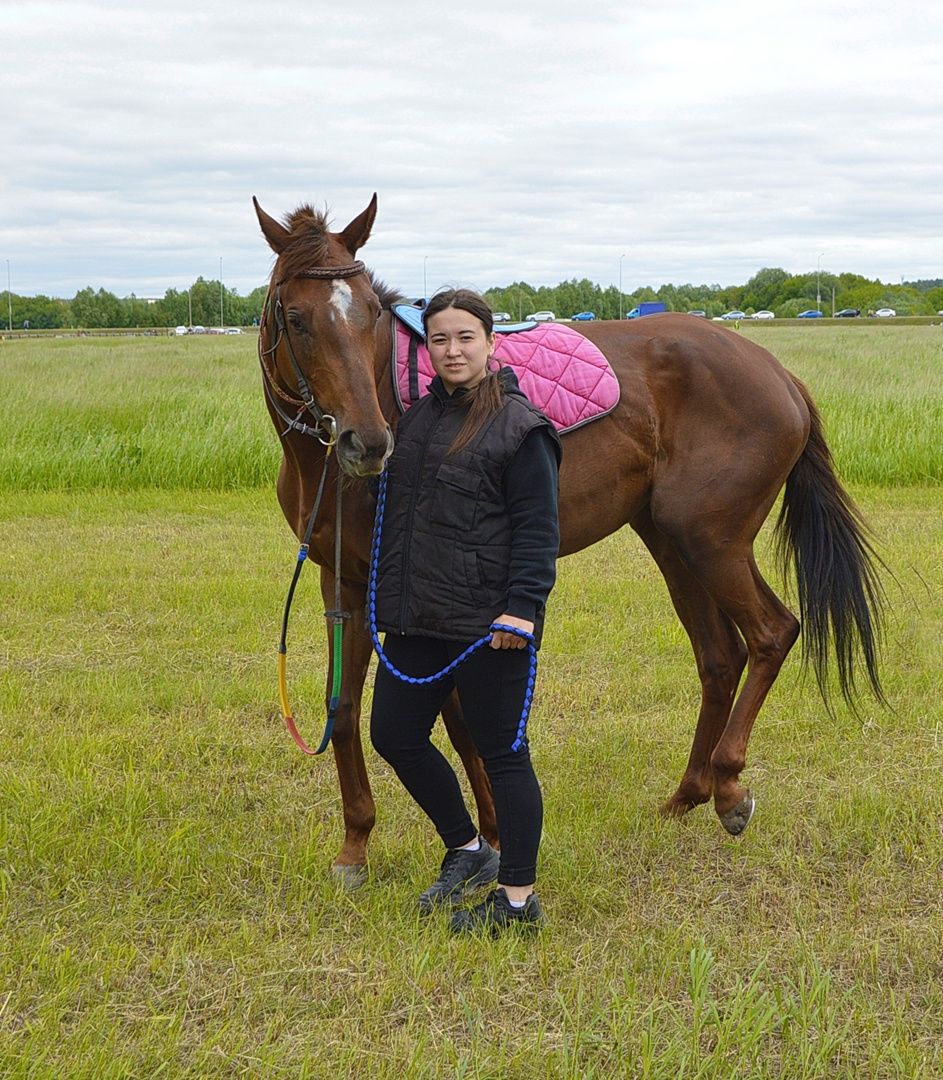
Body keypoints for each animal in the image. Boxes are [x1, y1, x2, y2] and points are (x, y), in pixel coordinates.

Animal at [251, 194, 881, 885]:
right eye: (295, 317)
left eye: (368, 312)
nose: (367, 442)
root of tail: (778, 373)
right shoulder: (342, 576)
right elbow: (344, 709)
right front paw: (357, 845)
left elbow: (458, 718)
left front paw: (493, 838)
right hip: (672, 544)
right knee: (720, 657)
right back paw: (687, 794)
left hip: (712, 543)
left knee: (771, 633)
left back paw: (729, 787)